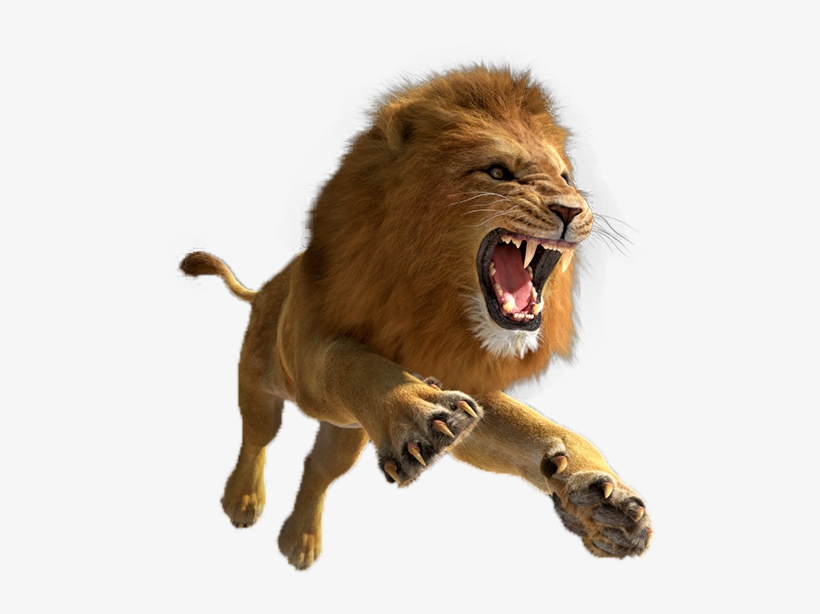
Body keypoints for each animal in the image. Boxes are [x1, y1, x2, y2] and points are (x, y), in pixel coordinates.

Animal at [180, 66, 652, 569]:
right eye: (498, 172)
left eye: (566, 177)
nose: (571, 209)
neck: (432, 304)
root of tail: (265, 289)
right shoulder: (309, 342)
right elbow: (346, 360)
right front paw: (417, 412)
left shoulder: (462, 375)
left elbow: (532, 429)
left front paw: (602, 501)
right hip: (259, 385)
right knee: (257, 438)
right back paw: (242, 500)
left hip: (345, 434)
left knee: (318, 469)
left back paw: (300, 540)